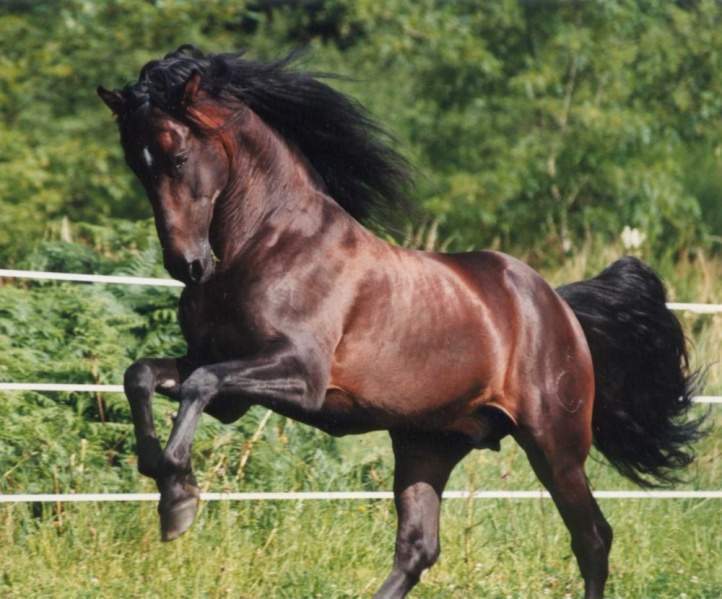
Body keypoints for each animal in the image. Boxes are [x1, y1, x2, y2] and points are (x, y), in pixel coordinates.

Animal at [97, 46, 704, 599]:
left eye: (177, 156)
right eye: (135, 163)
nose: (187, 265)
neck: (269, 242)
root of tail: (557, 304)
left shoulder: (299, 374)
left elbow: (197, 383)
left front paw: (179, 498)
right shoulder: (231, 392)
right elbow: (143, 375)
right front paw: (164, 481)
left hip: (554, 444)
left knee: (593, 538)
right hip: (426, 444)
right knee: (418, 549)